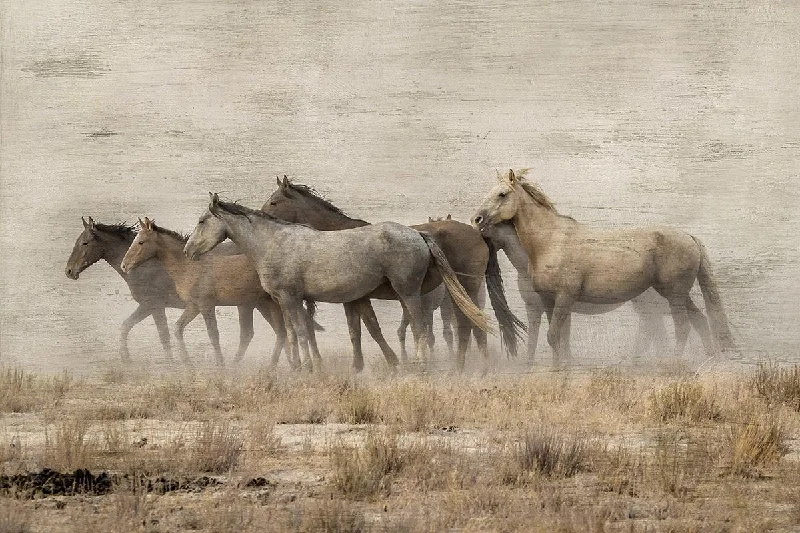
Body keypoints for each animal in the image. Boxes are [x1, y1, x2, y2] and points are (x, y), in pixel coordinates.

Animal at [119, 216, 318, 366]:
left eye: (141, 242)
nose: (124, 266)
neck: (188, 268)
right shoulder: (193, 306)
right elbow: (178, 328)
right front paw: (187, 363)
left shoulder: (206, 305)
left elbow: (213, 334)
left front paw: (219, 364)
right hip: (266, 303)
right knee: (282, 332)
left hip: (276, 303)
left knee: (289, 330)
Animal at [184, 193, 490, 372]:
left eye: (201, 221)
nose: (188, 251)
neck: (274, 242)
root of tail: (420, 235)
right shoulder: (285, 301)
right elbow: (293, 333)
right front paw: (297, 367)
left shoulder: (291, 298)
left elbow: (302, 331)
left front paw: (309, 367)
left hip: (409, 294)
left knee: (421, 328)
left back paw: (420, 364)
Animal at [262, 177, 524, 368]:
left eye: (274, 201)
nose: (261, 214)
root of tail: (477, 233)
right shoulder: (353, 299)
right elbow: (356, 331)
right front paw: (359, 366)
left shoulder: (357, 297)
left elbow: (371, 328)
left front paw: (388, 362)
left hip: (465, 288)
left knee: (468, 324)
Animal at [472, 169, 736, 362]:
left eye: (502, 194)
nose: (477, 218)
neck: (551, 241)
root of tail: (689, 237)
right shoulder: (549, 302)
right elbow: (558, 338)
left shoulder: (564, 298)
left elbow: (553, 336)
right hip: (678, 295)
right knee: (700, 321)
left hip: (674, 296)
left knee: (682, 327)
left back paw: (673, 364)